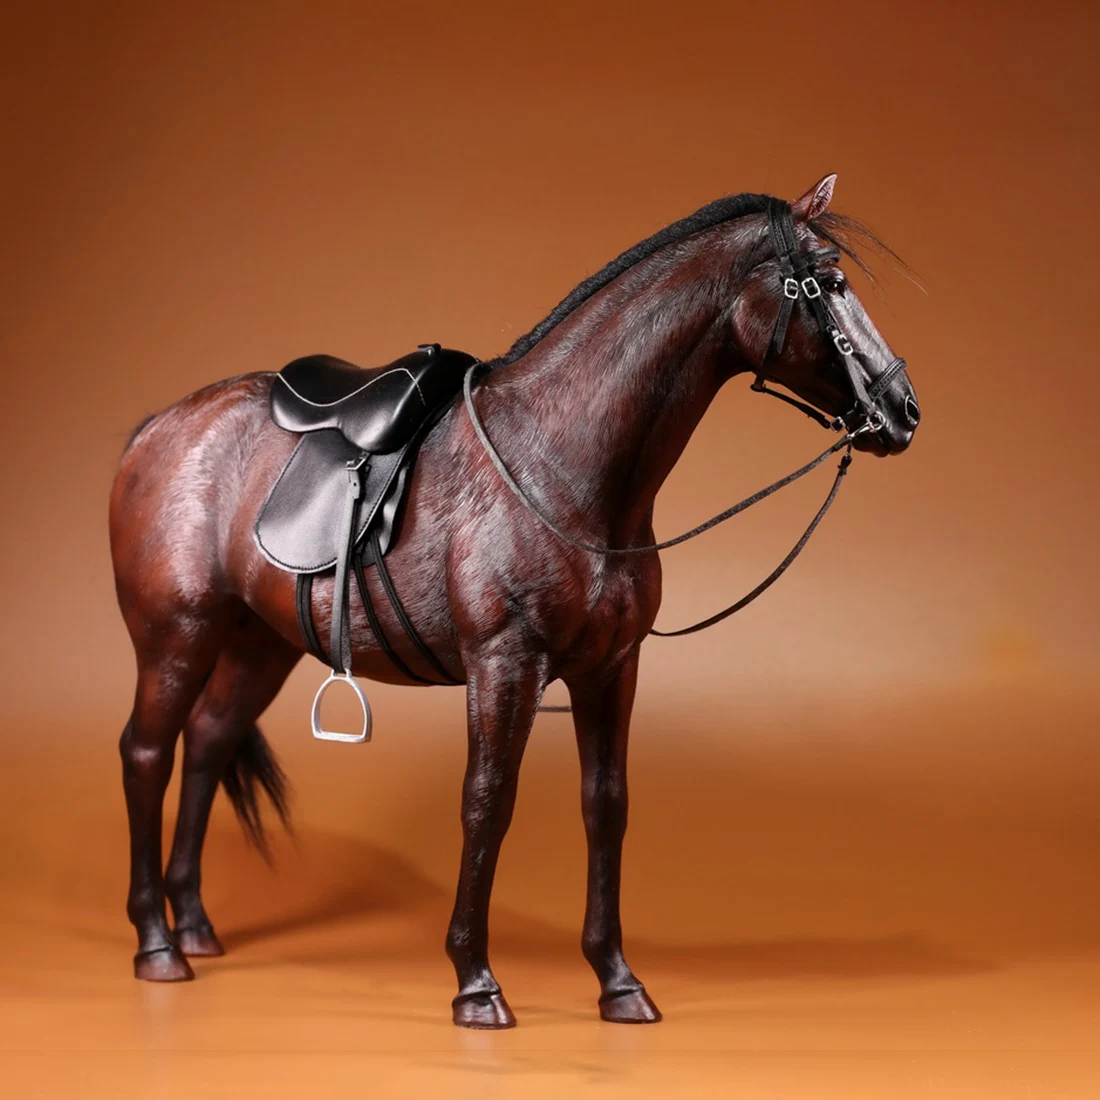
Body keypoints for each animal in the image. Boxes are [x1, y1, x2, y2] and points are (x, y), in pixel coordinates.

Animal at [109, 175, 919, 1028]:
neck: (559, 463)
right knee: (147, 754)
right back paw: (156, 943)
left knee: (207, 744)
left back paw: (195, 926)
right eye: (825, 282)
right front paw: (475, 979)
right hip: (175, 637)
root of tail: (159, 429)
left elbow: (607, 806)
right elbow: (487, 802)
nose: (903, 409)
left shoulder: (611, 670)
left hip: (257, 644)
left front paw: (617, 979)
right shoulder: (504, 665)